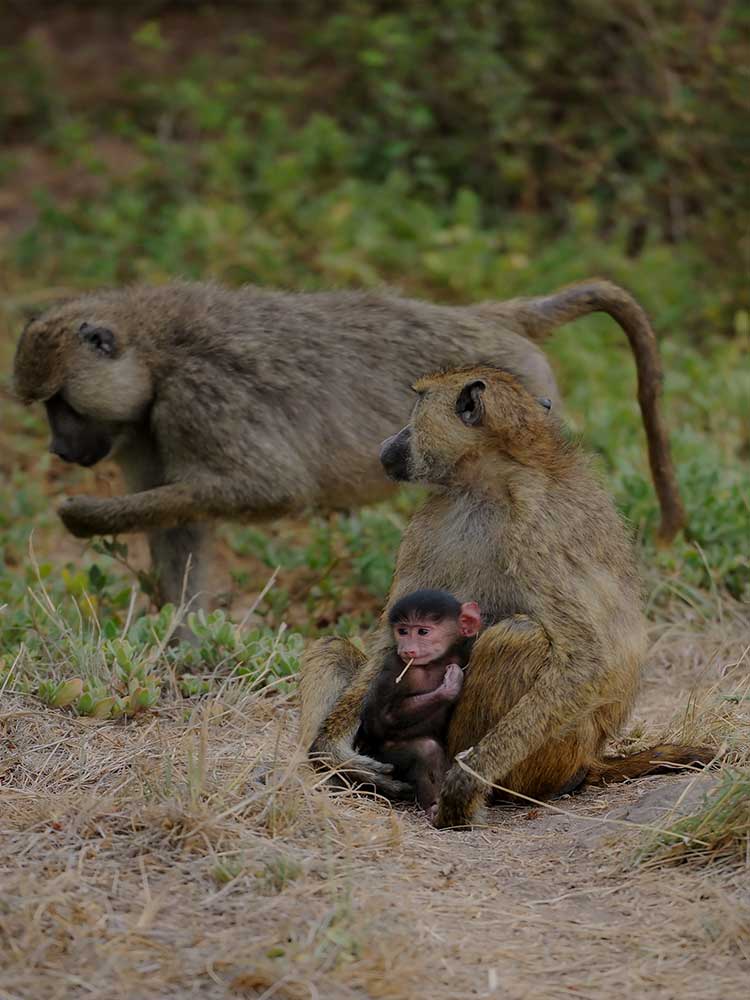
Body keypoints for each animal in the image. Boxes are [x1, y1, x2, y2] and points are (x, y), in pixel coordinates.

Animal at [13, 279, 685, 612]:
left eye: (62, 404)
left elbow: (270, 490)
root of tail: (490, 319)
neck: (153, 349)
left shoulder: (199, 398)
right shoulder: (140, 428)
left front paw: (82, 517)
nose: (61, 451)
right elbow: (182, 530)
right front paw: (186, 640)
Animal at [354, 589, 482, 817]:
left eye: (423, 631)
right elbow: (380, 720)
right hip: (380, 757)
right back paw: (433, 805)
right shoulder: (396, 669)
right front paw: (450, 685)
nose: (408, 649)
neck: (434, 664)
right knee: (426, 749)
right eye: (403, 631)